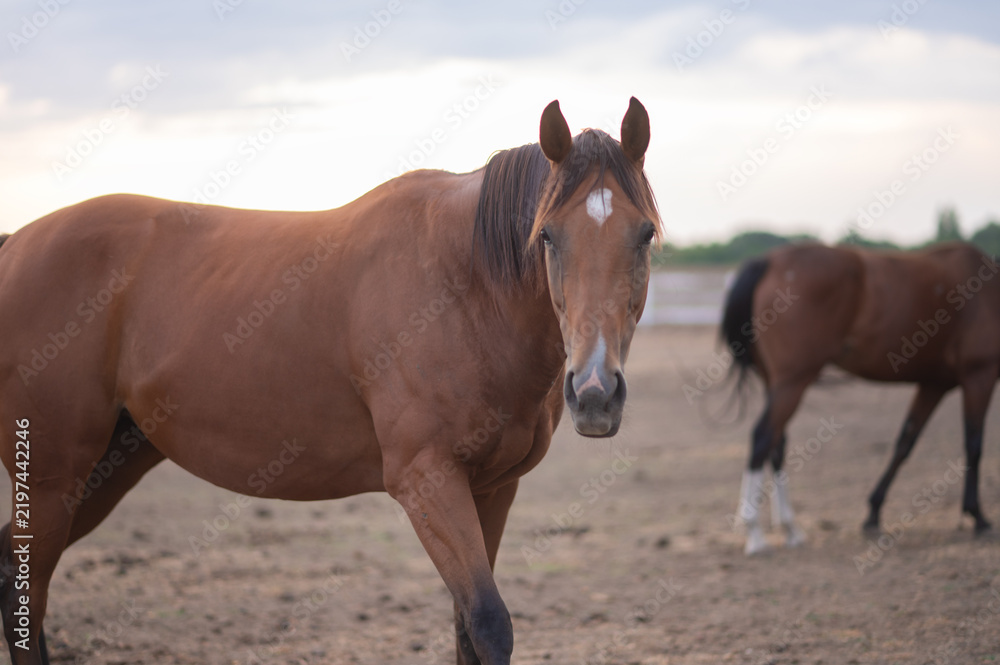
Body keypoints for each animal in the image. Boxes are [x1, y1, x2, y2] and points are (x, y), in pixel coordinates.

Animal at [0, 98, 660, 664]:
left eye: (645, 234)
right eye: (547, 235)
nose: (596, 394)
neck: (462, 285)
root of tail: (17, 245)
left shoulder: (492, 489)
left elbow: (466, 629)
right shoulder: (427, 482)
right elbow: (489, 623)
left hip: (107, 466)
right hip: (57, 474)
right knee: (27, 585)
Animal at [721, 241, 998, 555]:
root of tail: (771, 260)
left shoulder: (934, 384)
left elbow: (905, 443)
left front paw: (873, 513)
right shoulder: (980, 375)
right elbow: (974, 445)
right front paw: (978, 516)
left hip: (777, 383)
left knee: (776, 444)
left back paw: (791, 529)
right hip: (792, 381)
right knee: (763, 437)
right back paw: (754, 533)